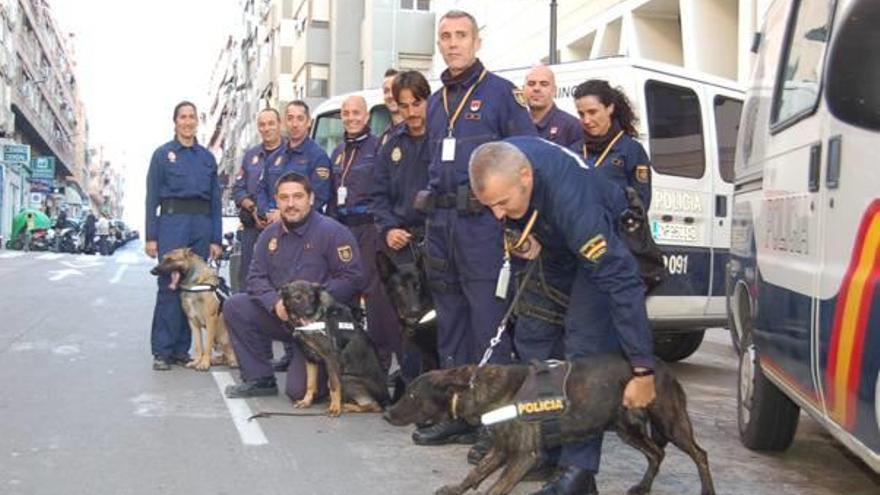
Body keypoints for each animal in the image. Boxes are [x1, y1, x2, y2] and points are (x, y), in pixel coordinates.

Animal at [280, 280, 390, 416]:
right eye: (297, 297)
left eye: (311, 297)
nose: (309, 313)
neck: (318, 317)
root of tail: (387, 399)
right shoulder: (310, 359)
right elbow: (310, 383)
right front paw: (306, 401)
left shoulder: (331, 358)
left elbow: (334, 385)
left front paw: (335, 407)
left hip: (346, 378)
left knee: (375, 406)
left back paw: (345, 406)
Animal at [384, 358, 716, 495]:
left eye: (412, 395)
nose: (386, 413)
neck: (476, 389)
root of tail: (662, 367)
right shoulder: (501, 448)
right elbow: (475, 474)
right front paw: (456, 488)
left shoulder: (523, 456)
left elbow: (496, 487)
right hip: (626, 429)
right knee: (656, 454)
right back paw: (644, 487)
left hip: (670, 423)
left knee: (700, 454)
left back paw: (707, 489)